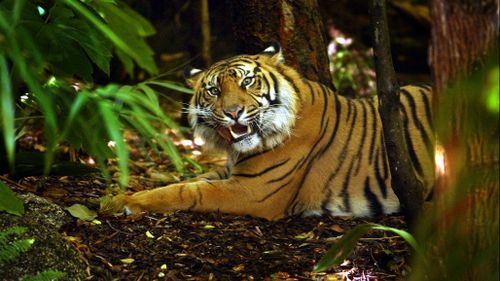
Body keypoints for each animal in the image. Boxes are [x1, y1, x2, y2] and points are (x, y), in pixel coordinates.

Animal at [112, 42, 434, 220]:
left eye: (247, 82)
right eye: (214, 91)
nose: (233, 112)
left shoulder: (252, 189)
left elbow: (187, 192)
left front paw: (126, 202)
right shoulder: (229, 171)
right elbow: (191, 181)